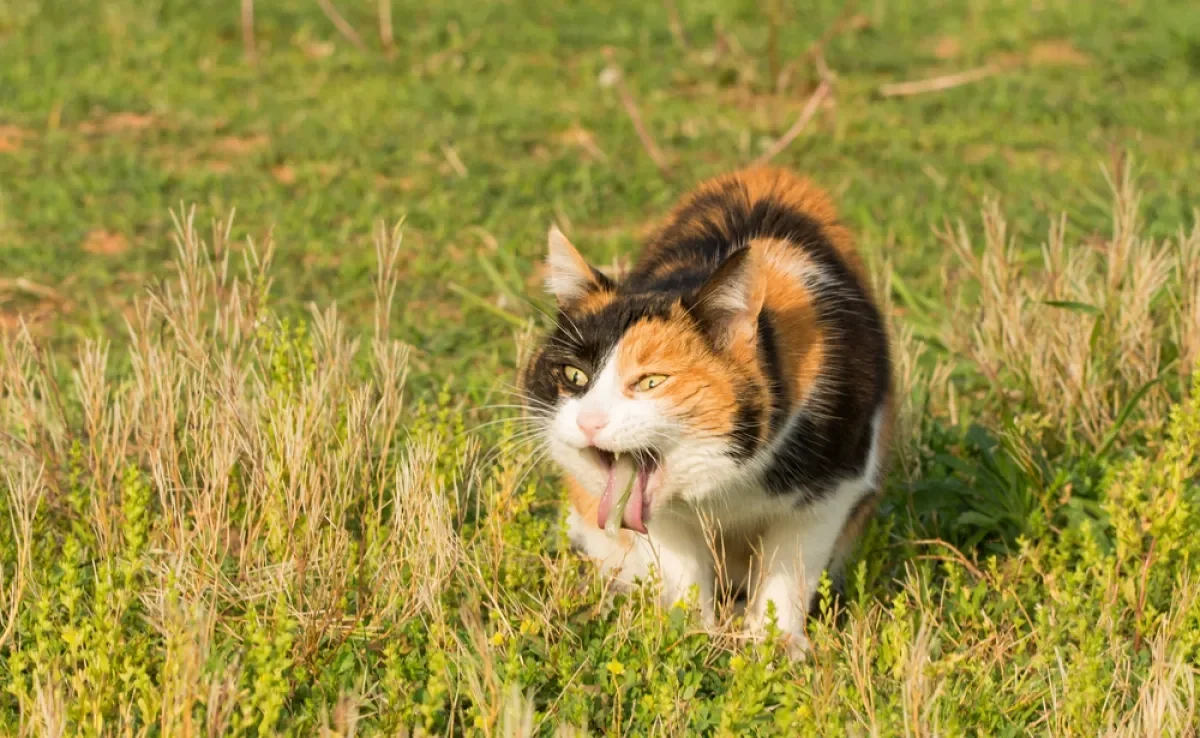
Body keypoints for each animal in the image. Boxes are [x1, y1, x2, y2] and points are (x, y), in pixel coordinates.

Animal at [523, 165, 892, 652]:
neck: (728, 483)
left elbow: (790, 568)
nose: (589, 421)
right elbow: (684, 571)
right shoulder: (659, 519)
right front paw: (690, 635)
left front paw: (774, 646)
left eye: (652, 381)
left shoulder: (833, 490)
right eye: (574, 376)